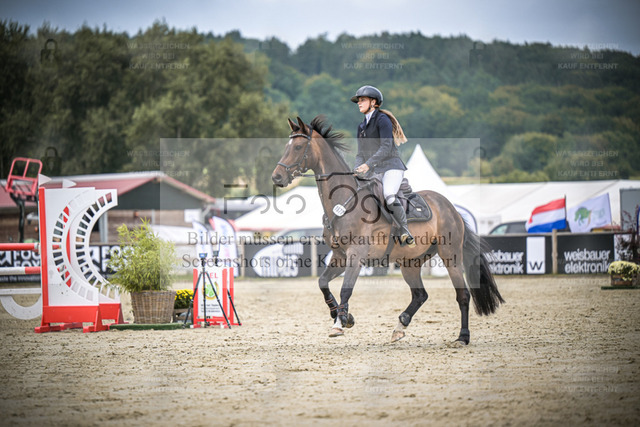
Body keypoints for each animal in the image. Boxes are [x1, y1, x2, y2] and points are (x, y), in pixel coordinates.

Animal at [271, 116, 504, 344]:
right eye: (286, 146)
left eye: (298, 146)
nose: (277, 177)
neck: (345, 203)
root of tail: (451, 208)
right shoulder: (339, 256)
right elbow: (322, 283)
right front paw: (339, 314)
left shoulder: (356, 256)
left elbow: (346, 288)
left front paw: (341, 322)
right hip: (410, 262)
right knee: (420, 295)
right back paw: (400, 326)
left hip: (450, 256)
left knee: (463, 295)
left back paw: (462, 337)